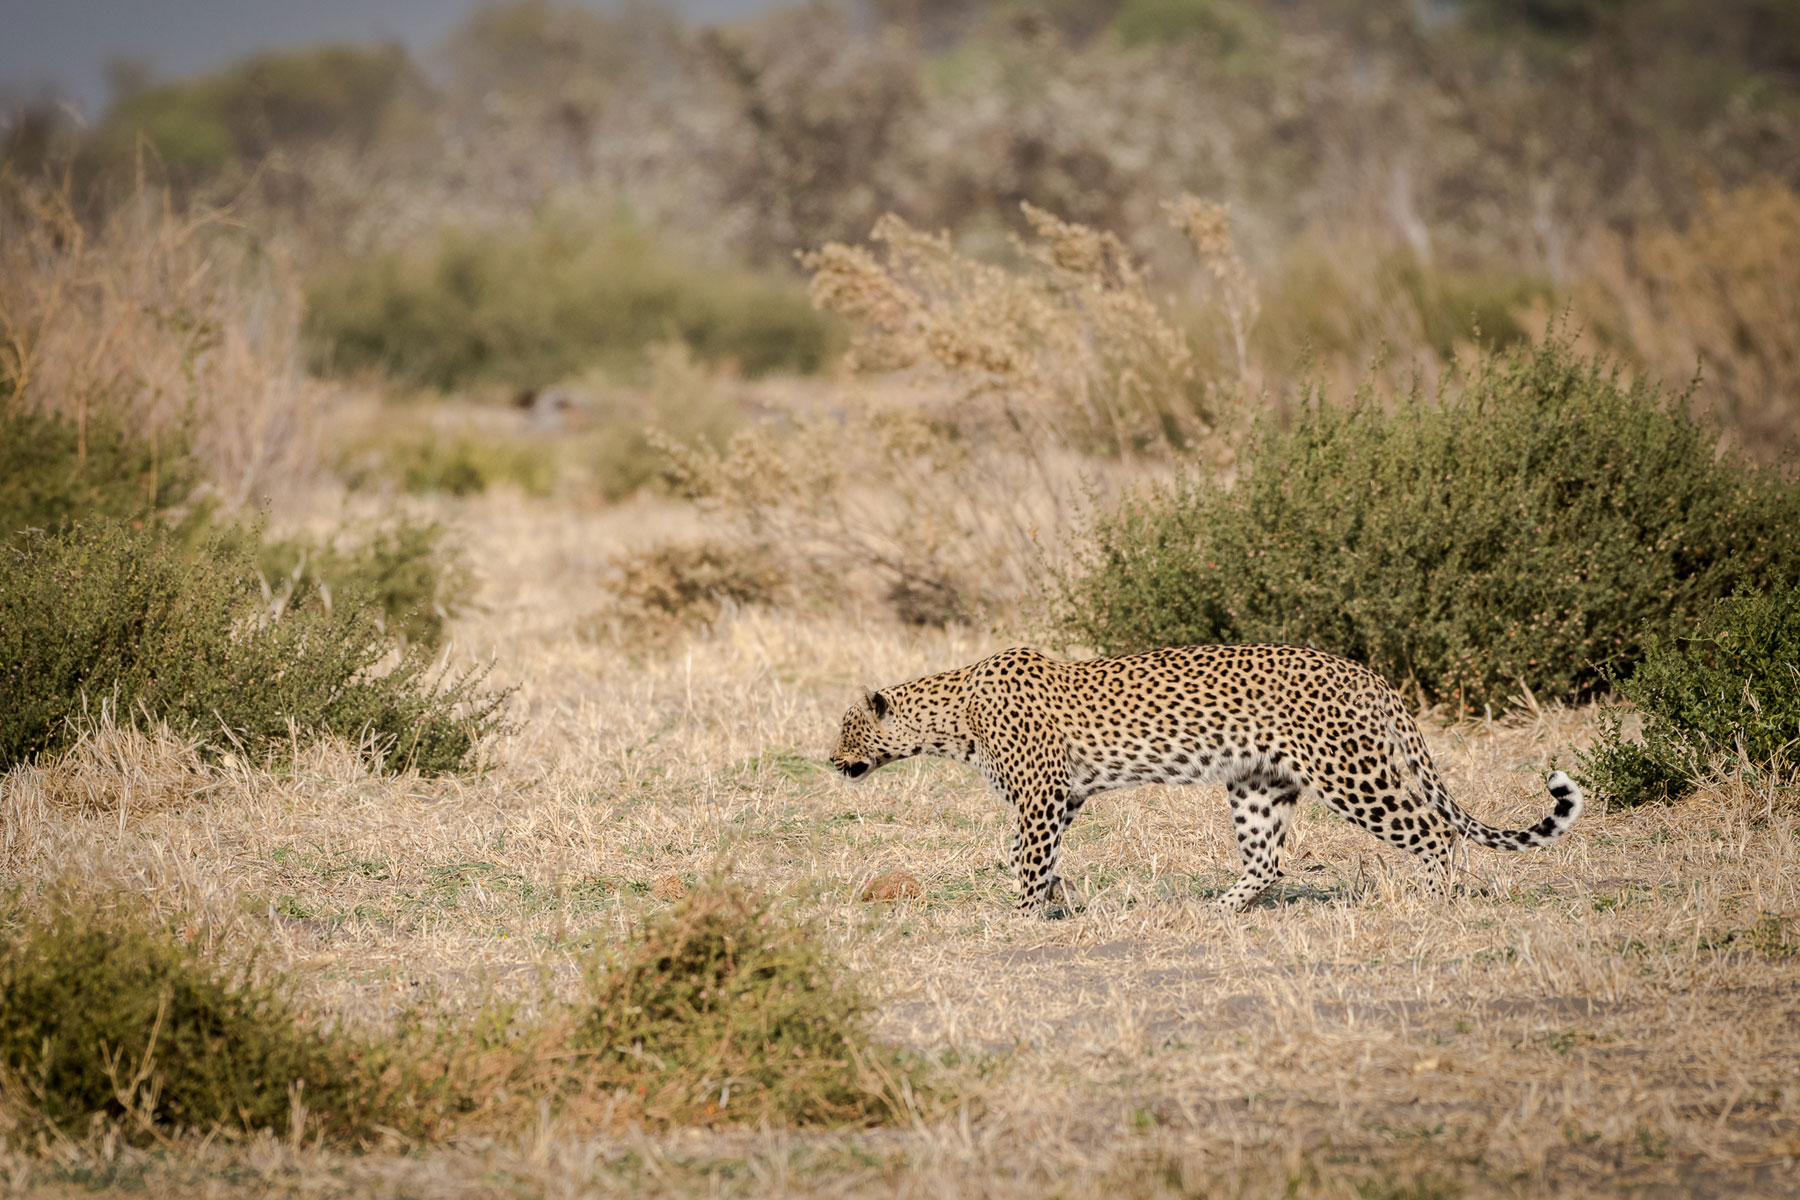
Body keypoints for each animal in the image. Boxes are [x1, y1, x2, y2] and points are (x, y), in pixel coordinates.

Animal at [830, 644, 1582, 915]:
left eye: (846, 729)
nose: (831, 762)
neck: (950, 716)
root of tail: (1365, 673)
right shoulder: (1065, 794)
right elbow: (1024, 852)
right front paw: (1057, 898)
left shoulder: (1042, 795)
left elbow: (1028, 856)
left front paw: (1021, 915)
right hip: (1258, 785)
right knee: (1269, 859)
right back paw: (1220, 909)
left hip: (1350, 772)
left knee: (1430, 830)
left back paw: (1432, 899)